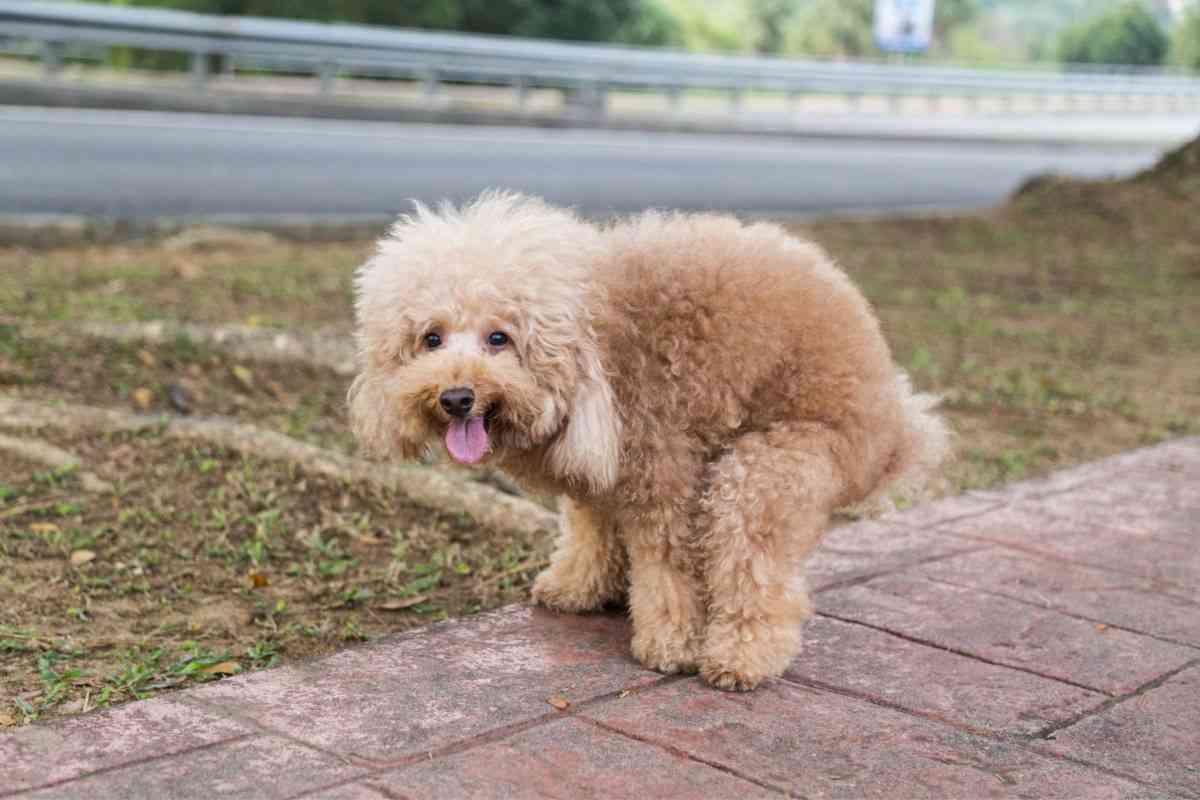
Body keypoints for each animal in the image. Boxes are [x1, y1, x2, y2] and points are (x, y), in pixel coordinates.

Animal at [348, 190, 945, 690]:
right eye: (431, 338)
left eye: (500, 338)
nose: (456, 398)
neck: (596, 338)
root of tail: (896, 428)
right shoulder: (596, 472)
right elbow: (591, 528)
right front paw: (578, 587)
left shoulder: (662, 470)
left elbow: (668, 567)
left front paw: (671, 644)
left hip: (773, 464)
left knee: (753, 562)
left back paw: (740, 657)